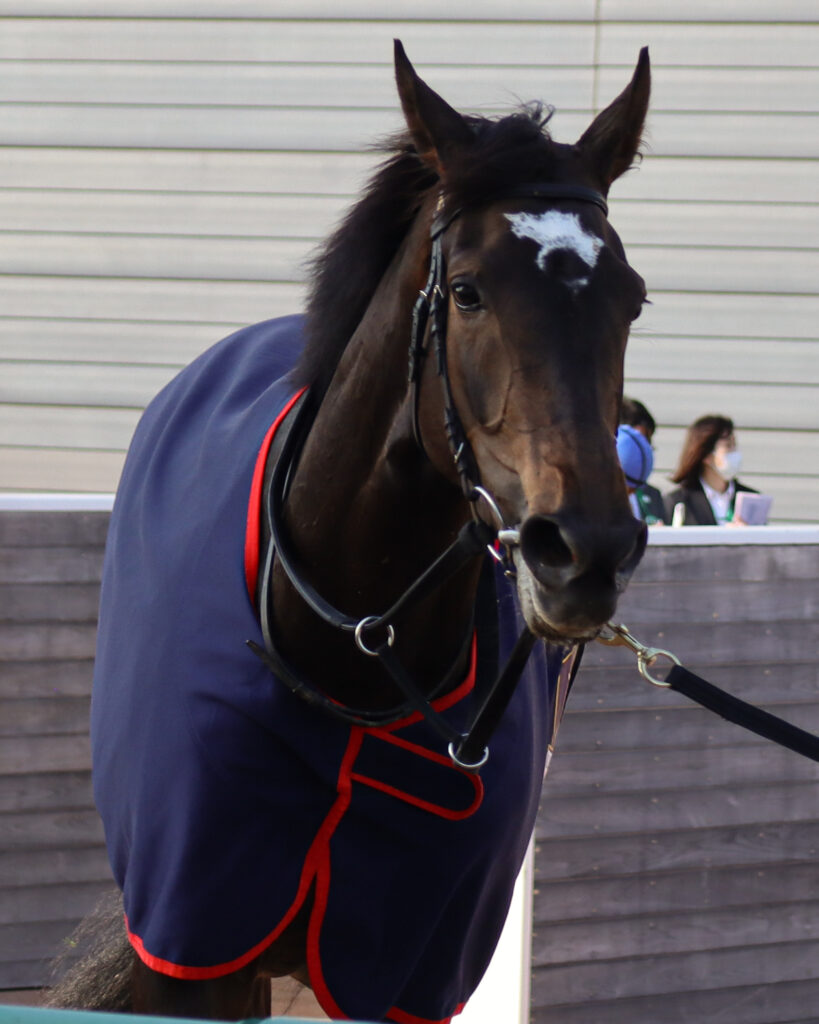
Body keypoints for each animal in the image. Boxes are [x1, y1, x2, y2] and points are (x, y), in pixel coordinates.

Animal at [47, 41, 651, 1023]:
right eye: (467, 292)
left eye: (631, 299)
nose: (587, 551)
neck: (349, 650)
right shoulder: (195, 934)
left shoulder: (404, 964)